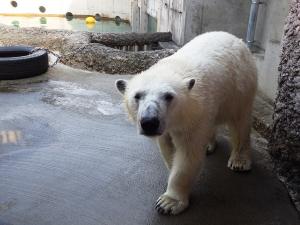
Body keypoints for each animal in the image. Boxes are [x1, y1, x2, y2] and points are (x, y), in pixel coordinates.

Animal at [113, 31, 256, 214]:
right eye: (137, 96)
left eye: (168, 96)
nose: (149, 122)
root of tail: (236, 39)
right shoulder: (174, 124)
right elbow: (168, 147)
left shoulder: (193, 115)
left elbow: (188, 153)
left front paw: (168, 202)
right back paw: (208, 145)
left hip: (239, 87)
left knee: (240, 121)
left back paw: (239, 161)